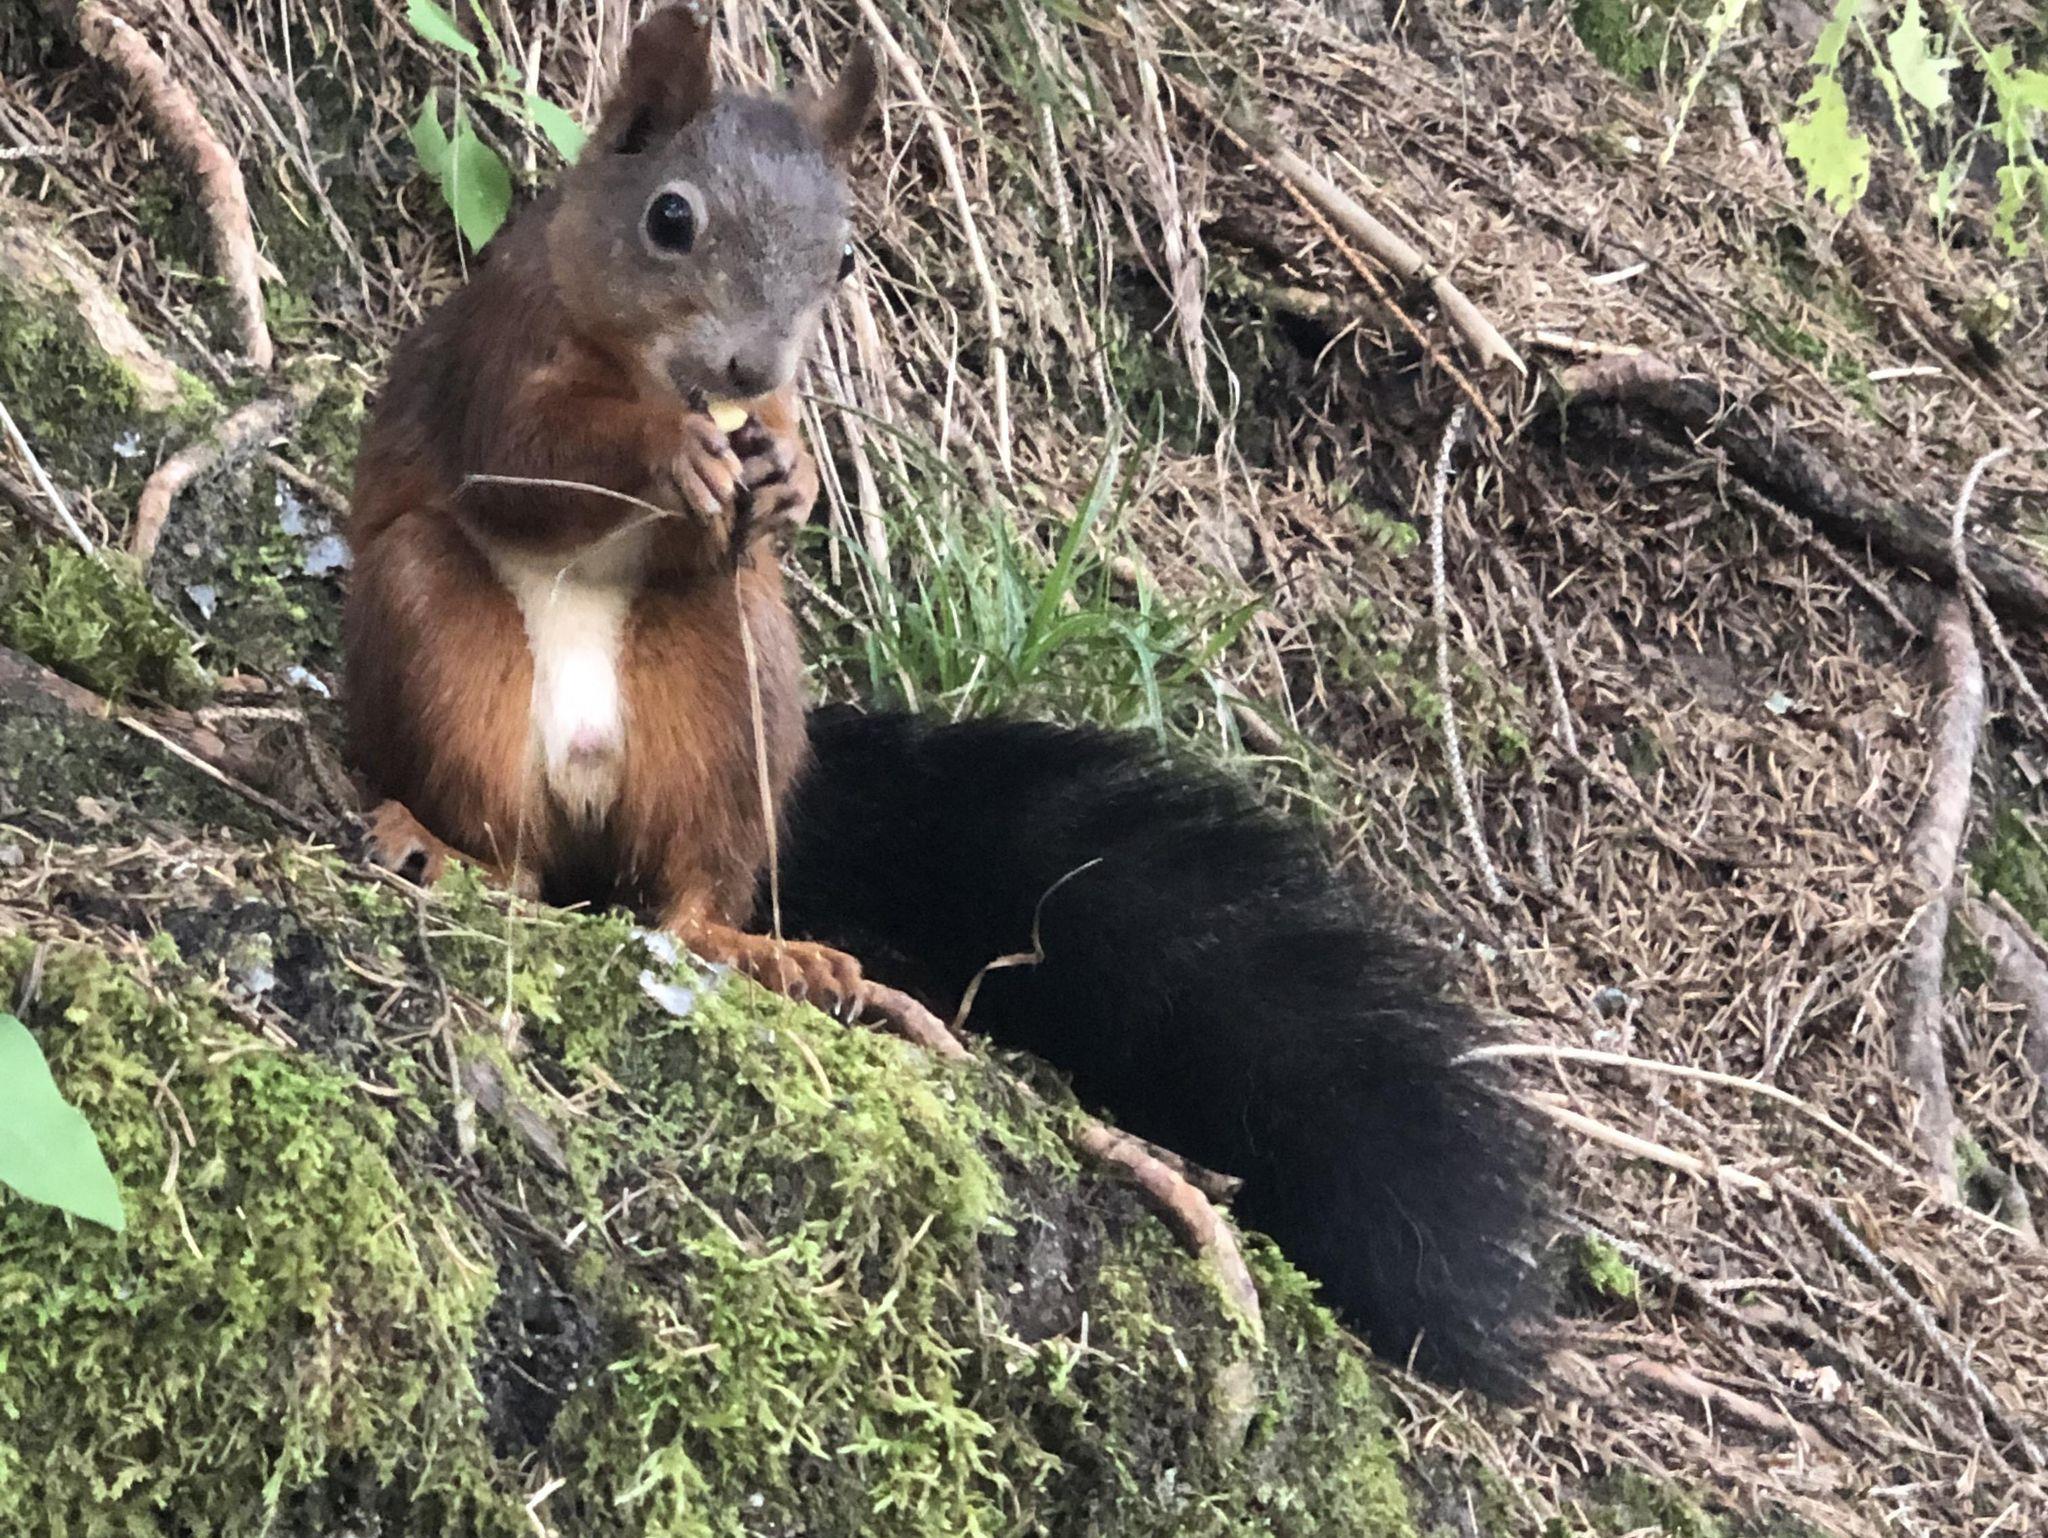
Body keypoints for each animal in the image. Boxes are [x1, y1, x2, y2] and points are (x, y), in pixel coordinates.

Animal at [345, 5, 1549, 1395]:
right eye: (669, 219)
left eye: (844, 254)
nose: (753, 358)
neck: (651, 370)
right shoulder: (499, 350)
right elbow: (528, 463)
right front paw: (667, 454)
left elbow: (752, 491)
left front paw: (792, 471)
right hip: (435, 636)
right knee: (515, 846)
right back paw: (449, 849)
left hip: (731, 680)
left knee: (681, 880)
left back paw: (754, 944)